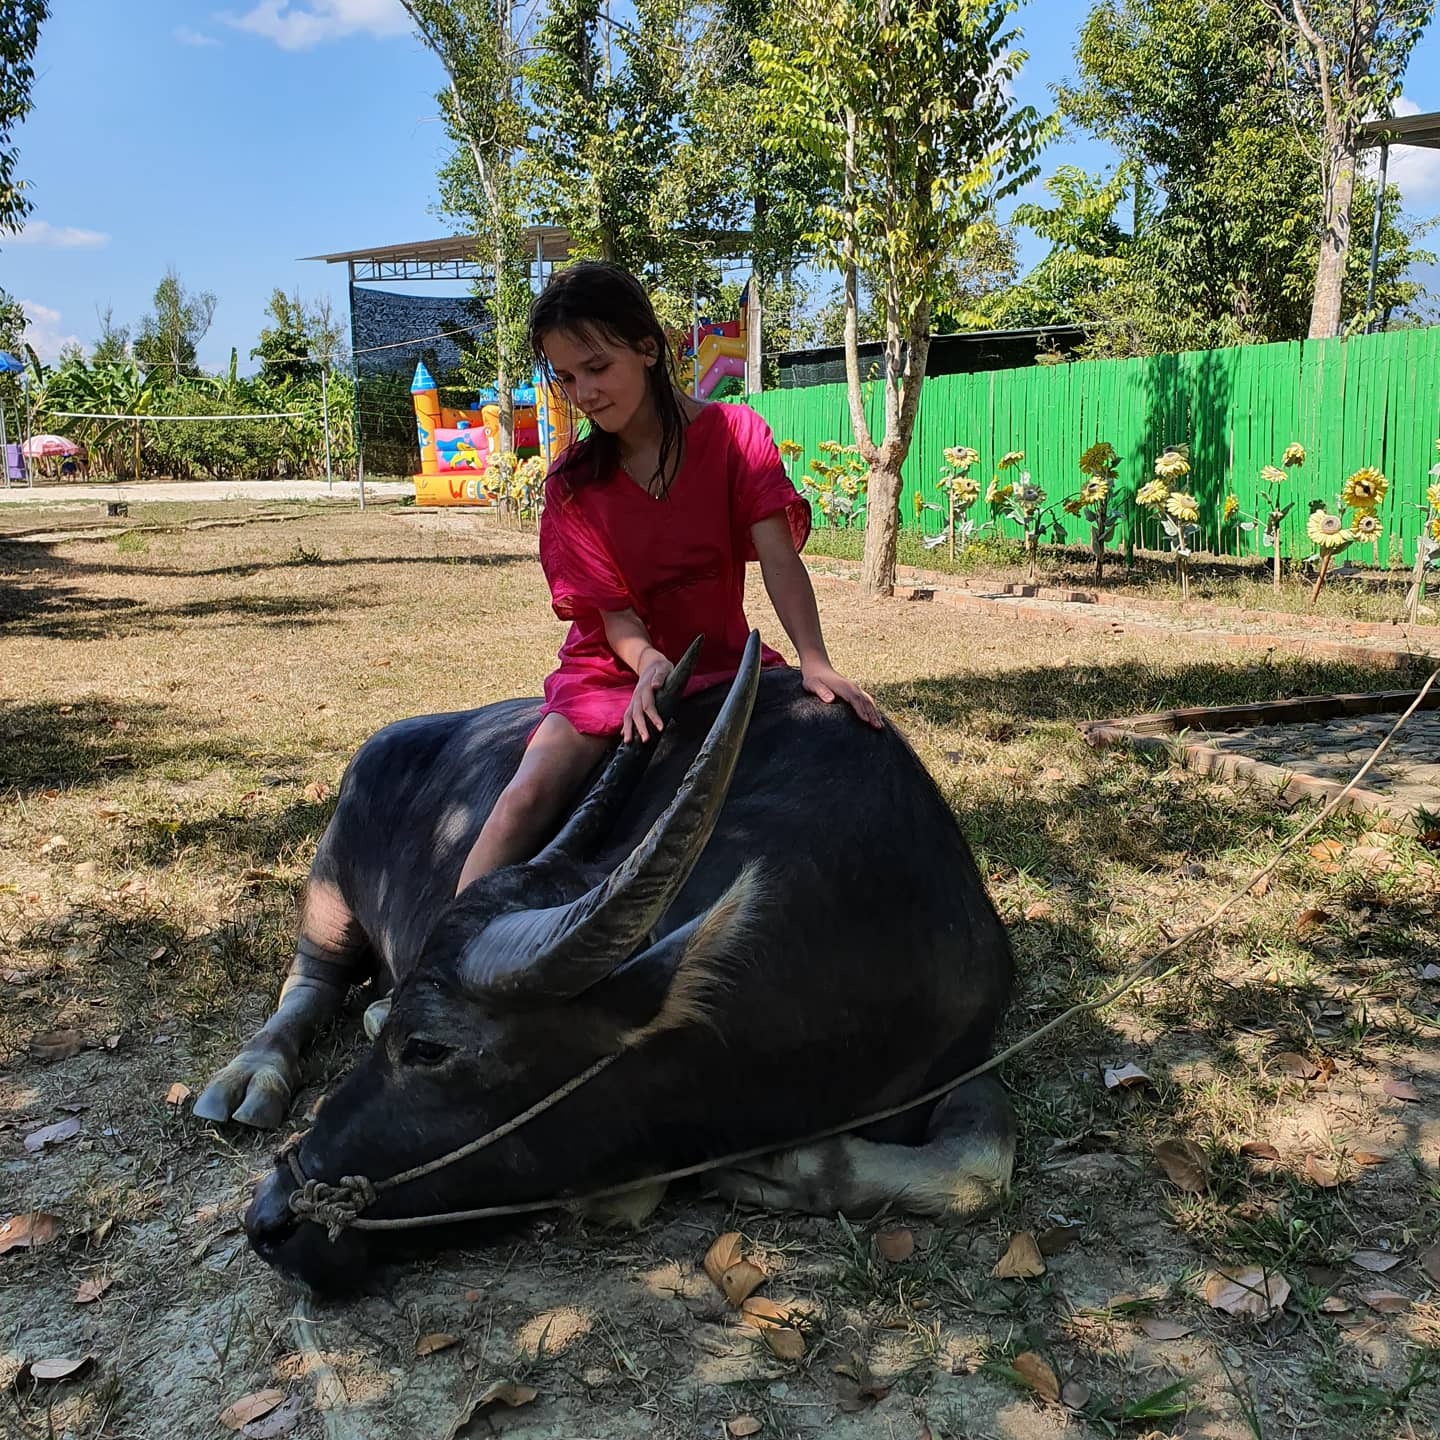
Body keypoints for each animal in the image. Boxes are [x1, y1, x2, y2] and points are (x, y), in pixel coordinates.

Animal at [200, 636, 1013, 1290]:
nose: (269, 1215)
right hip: (328, 885)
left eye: (428, 1048)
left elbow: (981, 1166)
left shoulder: (970, 1054)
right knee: (309, 980)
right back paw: (250, 1076)